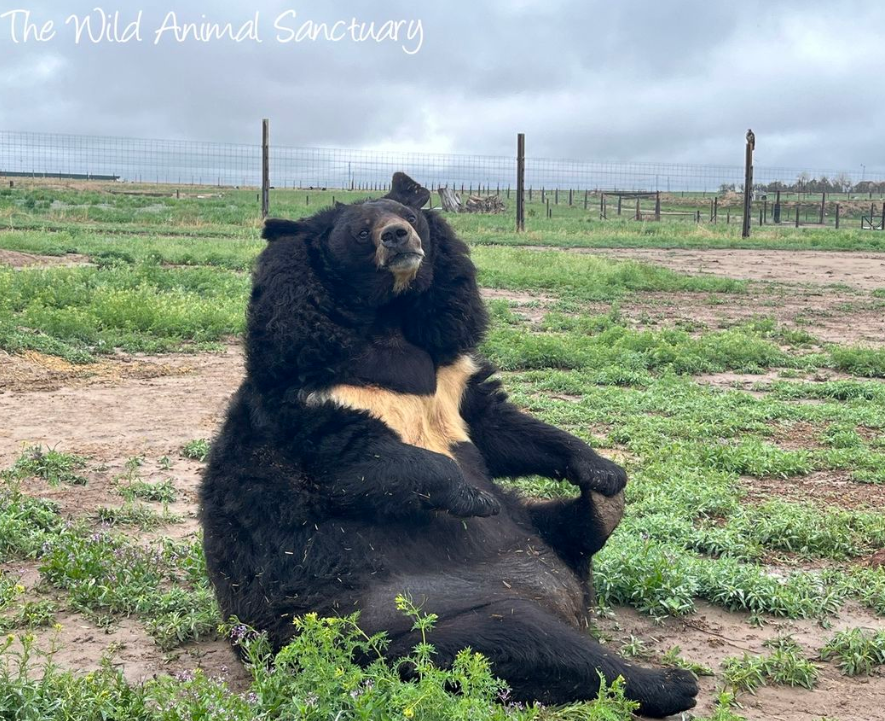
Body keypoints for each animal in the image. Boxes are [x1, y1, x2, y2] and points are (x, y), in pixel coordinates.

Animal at [200, 173, 696, 716]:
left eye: (408, 217)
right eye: (361, 232)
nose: (398, 237)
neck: (389, 323)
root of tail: (572, 602)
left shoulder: (452, 375)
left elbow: (501, 426)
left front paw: (604, 469)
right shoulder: (307, 399)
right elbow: (356, 462)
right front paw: (471, 496)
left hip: (525, 535)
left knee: (569, 529)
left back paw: (603, 508)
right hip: (405, 620)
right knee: (532, 643)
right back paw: (671, 681)